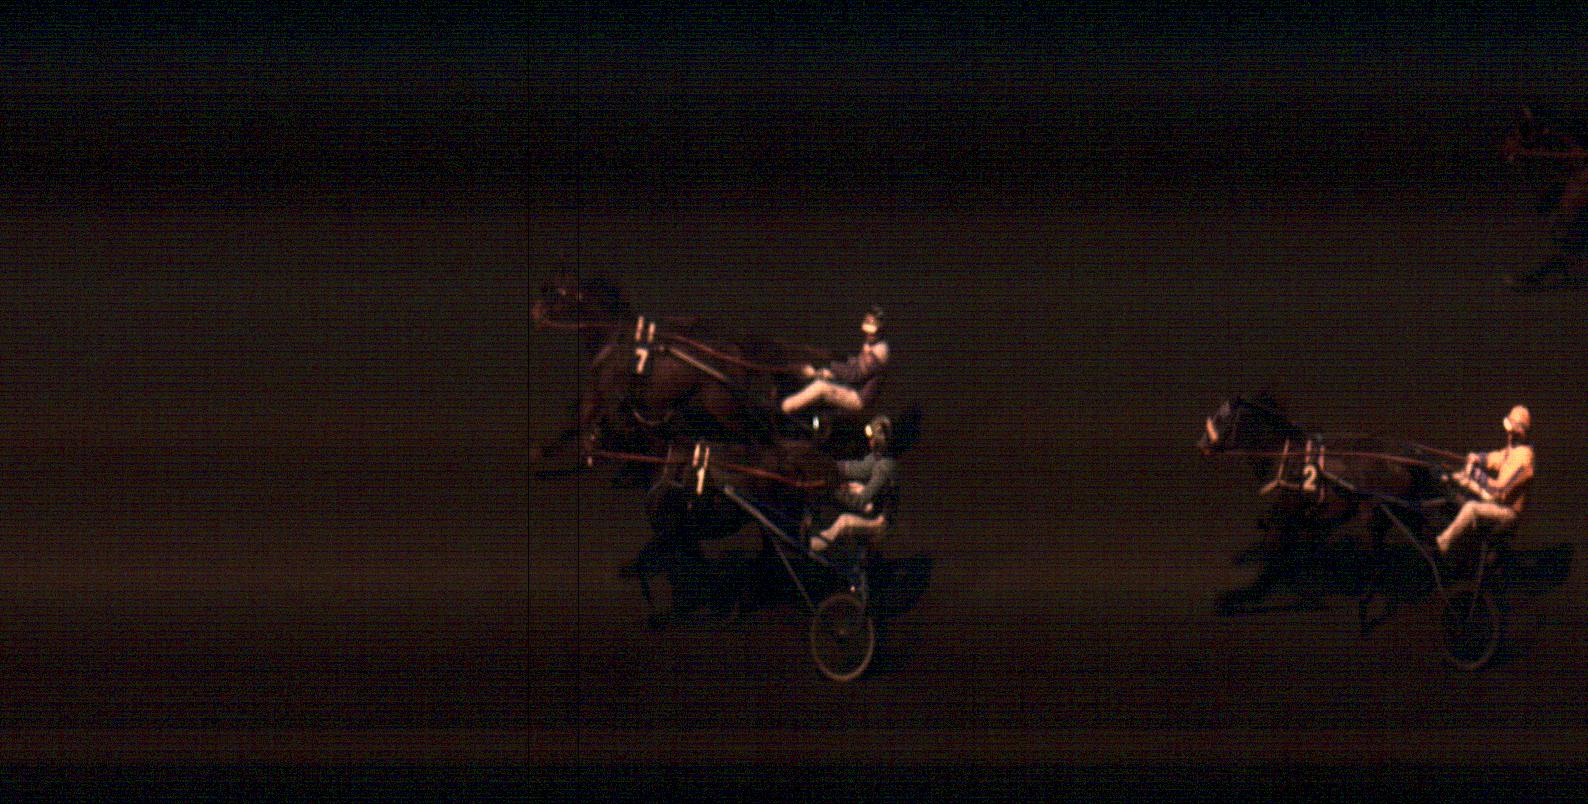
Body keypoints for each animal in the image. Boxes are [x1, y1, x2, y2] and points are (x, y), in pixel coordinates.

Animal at [1198, 394, 1455, 623]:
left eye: (1221, 417)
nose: (1201, 444)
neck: (1289, 455)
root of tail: (1409, 456)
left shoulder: (1289, 507)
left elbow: (1274, 547)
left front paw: (1237, 597)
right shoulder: (1318, 515)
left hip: (1377, 512)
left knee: (1382, 562)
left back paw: (1367, 606)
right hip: (1404, 510)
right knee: (1428, 543)